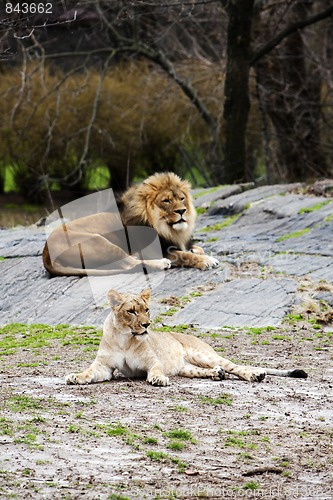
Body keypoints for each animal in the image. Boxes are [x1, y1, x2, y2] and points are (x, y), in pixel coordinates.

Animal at [42, 172, 218, 278]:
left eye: (181, 198)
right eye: (166, 201)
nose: (182, 211)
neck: (167, 228)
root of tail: (46, 254)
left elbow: (195, 249)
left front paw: (198, 251)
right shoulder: (157, 250)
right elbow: (185, 255)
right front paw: (207, 260)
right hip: (99, 242)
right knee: (129, 264)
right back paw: (161, 263)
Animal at [66, 288, 308, 384]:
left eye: (147, 309)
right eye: (131, 311)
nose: (146, 325)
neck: (125, 338)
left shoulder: (153, 361)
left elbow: (155, 370)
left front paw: (158, 379)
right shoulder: (104, 367)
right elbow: (89, 372)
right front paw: (75, 377)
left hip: (203, 354)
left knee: (237, 367)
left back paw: (255, 374)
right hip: (187, 368)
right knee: (210, 370)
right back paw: (217, 374)